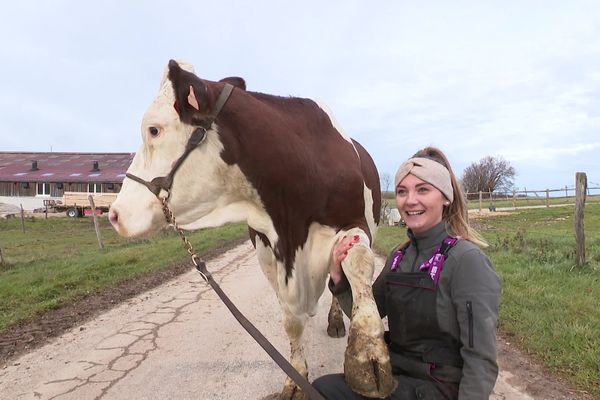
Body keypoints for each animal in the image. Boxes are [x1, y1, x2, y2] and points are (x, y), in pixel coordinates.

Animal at [109, 60, 396, 400]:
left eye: (153, 129)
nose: (114, 214)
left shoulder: (355, 223)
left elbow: (359, 264)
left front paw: (368, 356)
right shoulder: (267, 249)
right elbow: (290, 321)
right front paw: (295, 379)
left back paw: (336, 321)